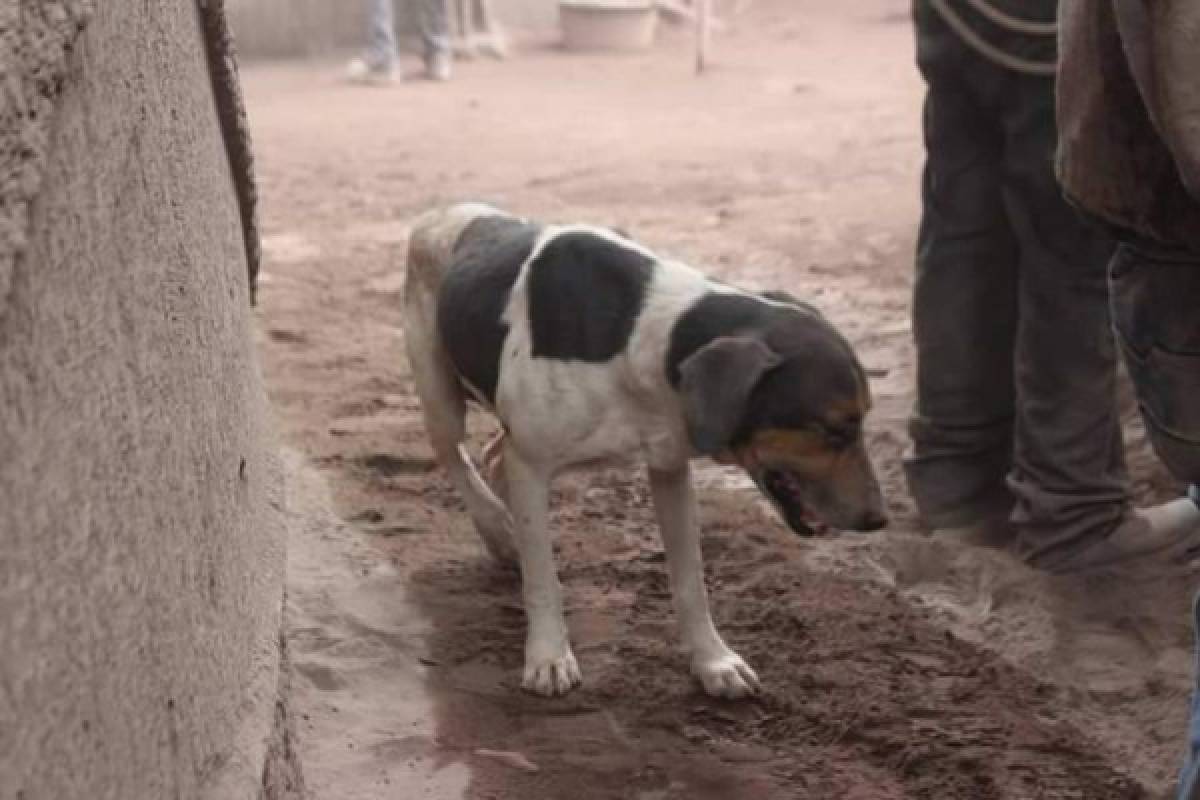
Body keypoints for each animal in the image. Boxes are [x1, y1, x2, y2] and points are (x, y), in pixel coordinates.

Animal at [403, 203, 883, 695]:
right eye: (833, 430)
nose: (878, 519)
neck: (645, 339)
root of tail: (448, 211)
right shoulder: (533, 463)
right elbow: (544, 580)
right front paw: (549, 656)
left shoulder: (669, 465)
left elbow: (691, 581)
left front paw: (713, 661)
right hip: (439, 393)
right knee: (454, 456)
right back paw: (499, 527)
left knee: (495, 455)